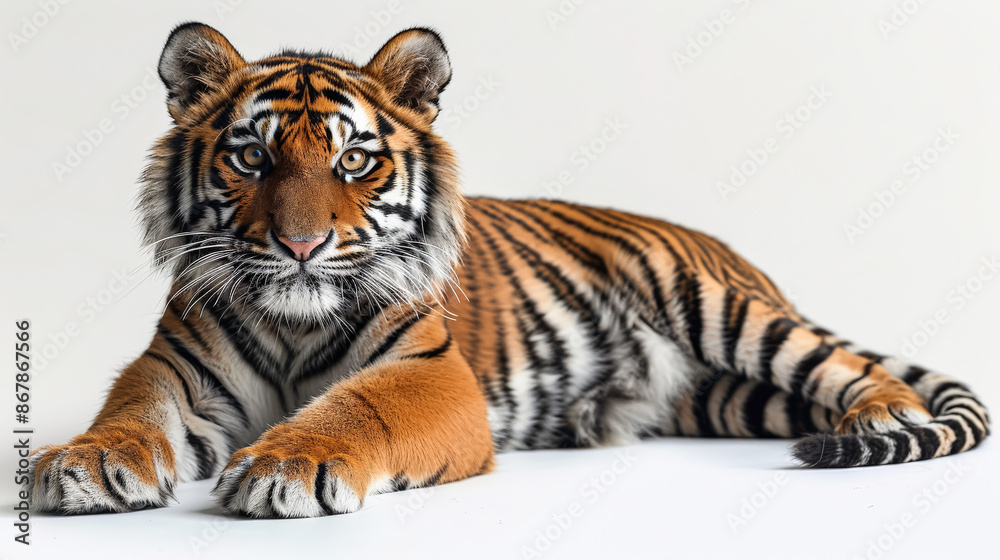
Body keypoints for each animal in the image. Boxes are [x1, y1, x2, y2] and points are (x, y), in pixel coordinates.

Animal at [27, 22, 989, 518]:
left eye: (353, 161)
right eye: (252, 159)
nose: (301, 247)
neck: (295, 318)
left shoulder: (432, 375)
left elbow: (356, 407)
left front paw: (285, 465)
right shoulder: (173, 367)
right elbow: (132, 410)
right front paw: (84, 462)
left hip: (716, 305)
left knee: (858, 370)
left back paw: (879, 421)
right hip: (729, 399)